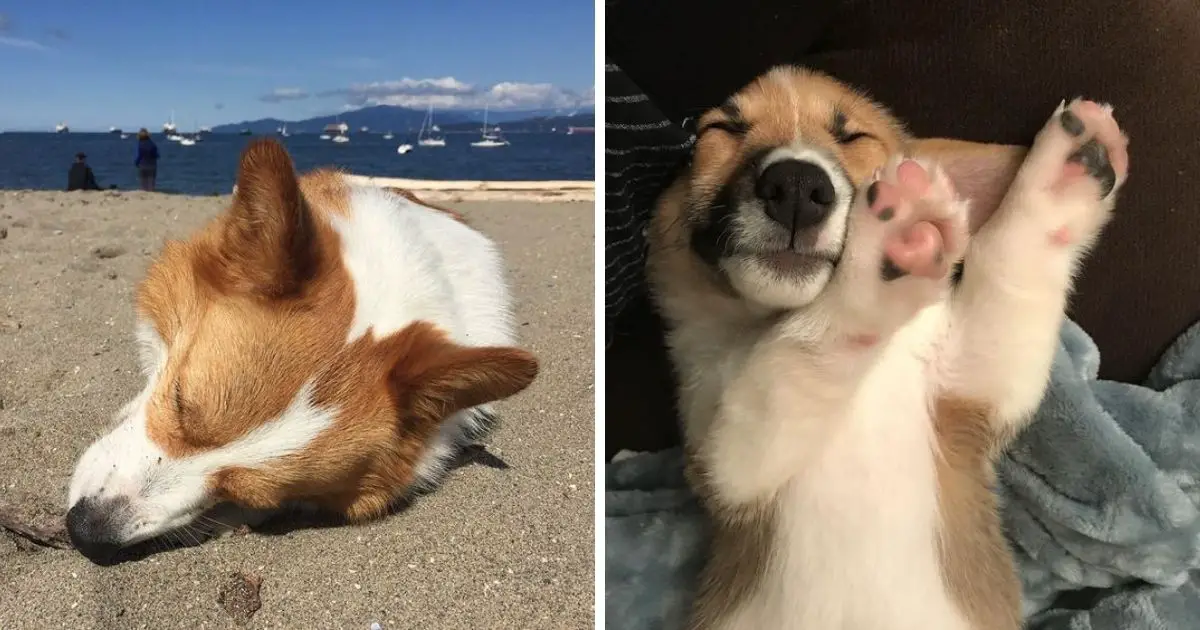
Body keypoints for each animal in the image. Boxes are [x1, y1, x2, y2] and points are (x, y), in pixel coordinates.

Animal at [648, 65, 1123, 628]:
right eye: (721, 130)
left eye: (854, 136)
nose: (796, 186)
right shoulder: (724, 461)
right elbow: (793, 355)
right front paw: (879, 256)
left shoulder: (976, 380)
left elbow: (1011, 255)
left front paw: (1068, 169)